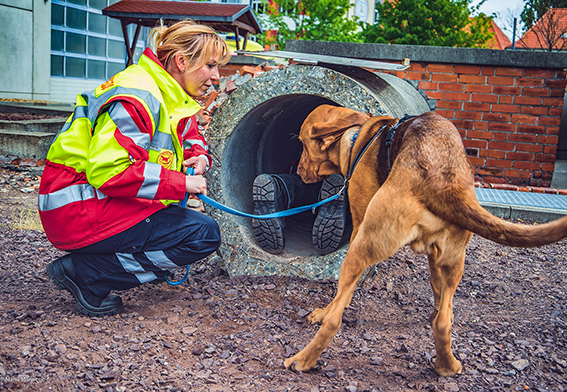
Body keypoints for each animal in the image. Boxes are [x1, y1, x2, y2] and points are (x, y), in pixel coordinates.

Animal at [284, 104, 567, 376]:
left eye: (302, 143)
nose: (295, 170)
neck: (355, 138)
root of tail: (440, 178)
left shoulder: (358, 228)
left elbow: (340, 298)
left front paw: (324, 312)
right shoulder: (435, 257)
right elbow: (439, 298)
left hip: (361, 248)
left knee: (335, 320)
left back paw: (302, 359)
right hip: (453, 261)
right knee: (443, 321)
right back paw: (447, 366)